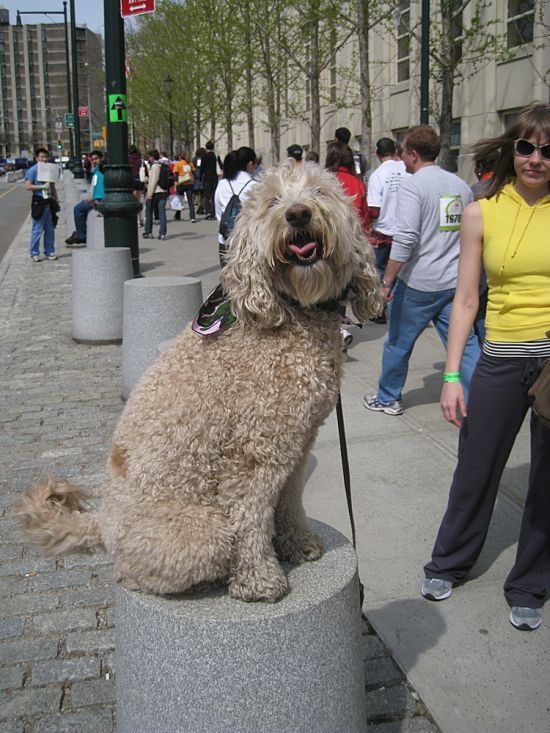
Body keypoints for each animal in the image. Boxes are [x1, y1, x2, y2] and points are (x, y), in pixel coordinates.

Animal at [17, 163, 384, 604]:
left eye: (319, 192)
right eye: (272, 202)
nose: (298, 214)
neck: (291, 311)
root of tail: (102, 524)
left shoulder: (297, 443)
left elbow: (290, 501)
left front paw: (298, 544)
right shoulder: (254, 452)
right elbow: (250, 517)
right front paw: (259, 580)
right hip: (202, 531)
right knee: (134, 574)